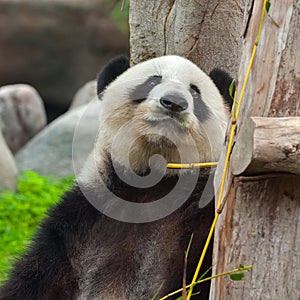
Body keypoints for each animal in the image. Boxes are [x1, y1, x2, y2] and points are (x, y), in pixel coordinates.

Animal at [0, 55, 233, 298]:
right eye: (153, 81)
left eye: (195, 92)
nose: (174, 102)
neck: (154, 180)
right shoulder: (80, 221)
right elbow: (35, 276)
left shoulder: (201, 216)